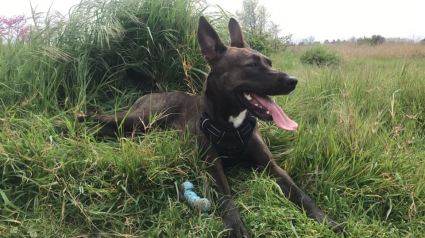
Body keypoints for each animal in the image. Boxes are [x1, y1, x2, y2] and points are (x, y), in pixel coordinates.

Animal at [79, 16, 342, 236]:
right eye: (252, 65)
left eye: (269, 62)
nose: (293, 81)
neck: (232, 124)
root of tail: (155, 92)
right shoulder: (212, 167)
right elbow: (226, 198)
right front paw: (236, 226)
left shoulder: (271, 166)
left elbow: (301, 194)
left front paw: (326, 220)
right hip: (140, 119)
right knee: (102, 118)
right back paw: (78, 121)